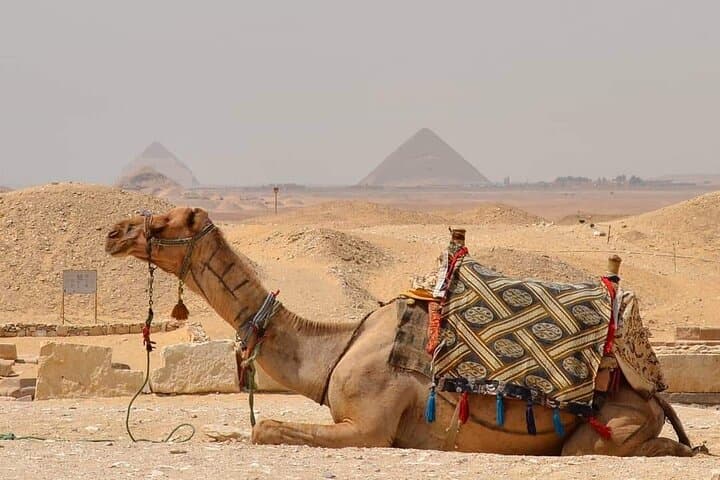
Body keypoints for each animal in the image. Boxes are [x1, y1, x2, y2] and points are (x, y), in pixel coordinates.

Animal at [105, 207, 697, 456]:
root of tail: (655, 392)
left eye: (164, 221)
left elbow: (267, 427)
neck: (336, 348)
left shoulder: (369, 427)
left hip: (611, 426)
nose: (114, 232)